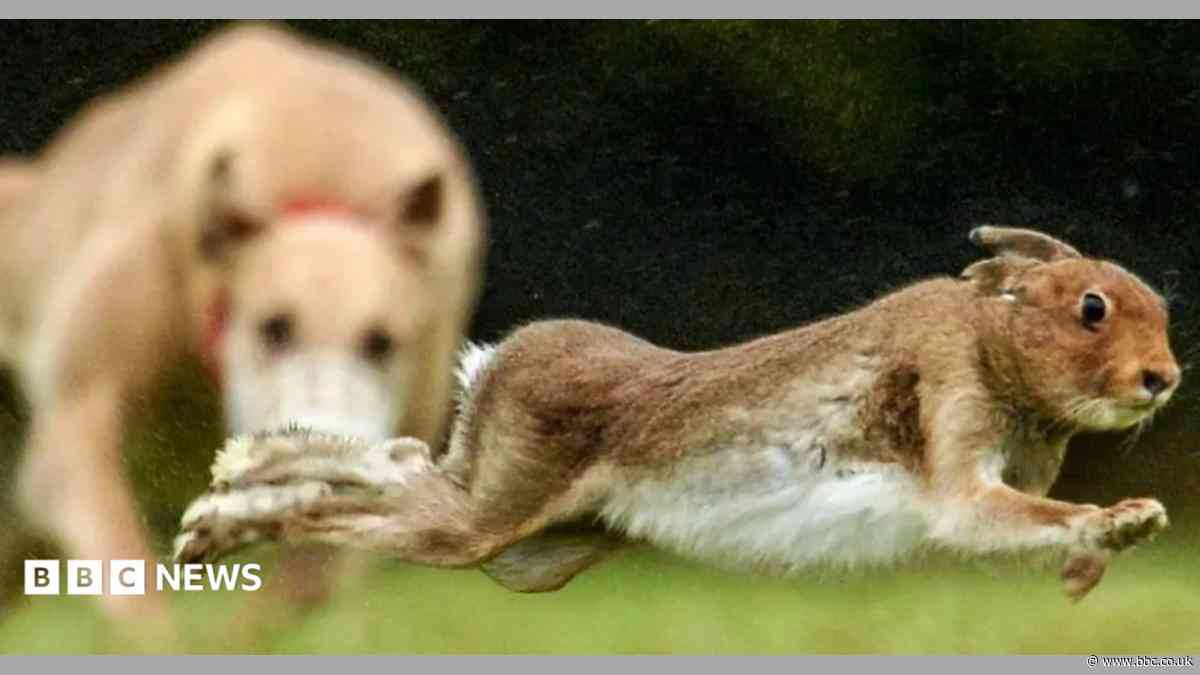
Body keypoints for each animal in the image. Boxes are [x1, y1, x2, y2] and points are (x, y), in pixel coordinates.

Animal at [174, 225, 1176, 601]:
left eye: (1160, 304)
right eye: (1091, 307)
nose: (1162, 378)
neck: (994, 342)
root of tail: (497, 363)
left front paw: (1097, 558)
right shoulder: (957, 449)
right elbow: (1008, 511)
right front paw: (1127, 517)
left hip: (533, 547)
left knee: (397, 464)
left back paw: (221, 500)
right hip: (489, 517)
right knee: (365, 503)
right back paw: (212, 530)